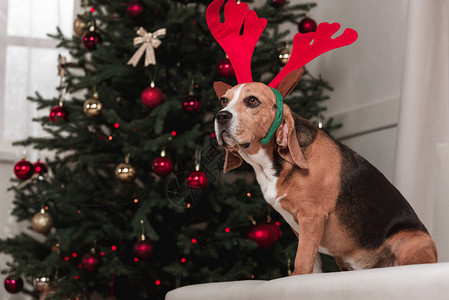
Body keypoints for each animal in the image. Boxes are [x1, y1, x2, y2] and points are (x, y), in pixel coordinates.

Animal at [212, 69, 436, 276]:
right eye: (223, 100)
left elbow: (302, 261)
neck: (272, 166)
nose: (221, 115)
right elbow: (312, 265)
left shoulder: (311, 217)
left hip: (411, 241)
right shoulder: (300, 228)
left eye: (252, 101)